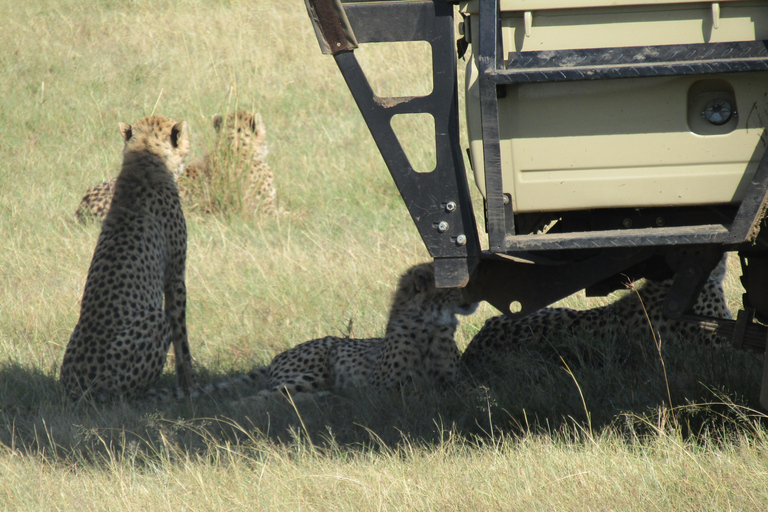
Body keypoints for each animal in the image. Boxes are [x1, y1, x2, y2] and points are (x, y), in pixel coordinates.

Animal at [61, 116, 196, 400]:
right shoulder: (175, 275)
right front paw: (189, 384)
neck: (143, 163)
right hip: (155, 321)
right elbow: (182, 337)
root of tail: (78, 389)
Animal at [151, 264, 480, 404]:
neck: (431, 327)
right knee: (257, 397)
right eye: (456, 283)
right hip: (313, 370)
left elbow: (468, 389)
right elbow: (413, 391)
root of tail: (277, 356)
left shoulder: (454, 380)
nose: (476, 292)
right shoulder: (382, 389)